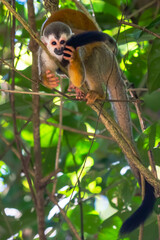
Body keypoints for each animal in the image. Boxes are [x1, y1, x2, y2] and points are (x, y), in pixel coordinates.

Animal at [37, 7, 155, 236]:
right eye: (54, 44)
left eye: (63, 42)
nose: (61, 50)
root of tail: (114, 64)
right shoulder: (43, 53)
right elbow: (43, 74)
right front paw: (49, 79)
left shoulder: (76, 43)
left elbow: (80, 67)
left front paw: (73, 62)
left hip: (105, 60)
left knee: (93, 57)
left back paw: (96, 92)